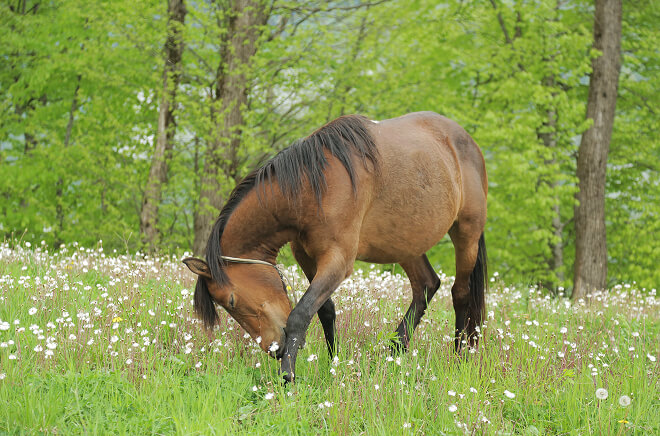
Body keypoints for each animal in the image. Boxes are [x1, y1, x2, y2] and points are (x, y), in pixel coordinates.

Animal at [183, 111, 488, 383]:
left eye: (231, 301)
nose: (275, 349)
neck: (311, 186)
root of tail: (467, 143)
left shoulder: (338, 261)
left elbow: (300, 314)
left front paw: (287, 376)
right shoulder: (306, 256)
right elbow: (324, 310)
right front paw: (334, 363)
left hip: (466, 234)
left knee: (460, 293)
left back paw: (459, 358)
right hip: (405, 242)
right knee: (426, 285)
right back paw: (393, 352)